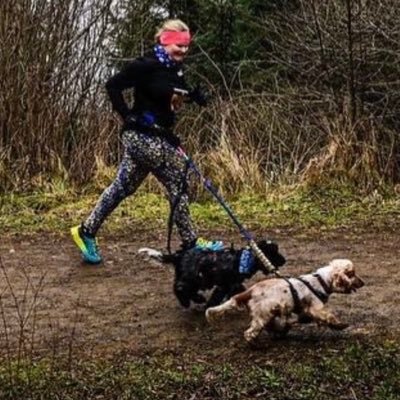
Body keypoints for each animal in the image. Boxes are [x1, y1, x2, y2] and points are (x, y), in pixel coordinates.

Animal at [139, 239, 286, 308]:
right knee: (179, 288)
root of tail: (179, 255)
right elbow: (217, 297)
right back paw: (190, 301)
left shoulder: (233, 283)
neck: (242, 260)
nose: (285, 260)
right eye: (274, 253)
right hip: (192, 278)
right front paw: (209, 306)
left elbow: (239, 290)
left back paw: (196, 299)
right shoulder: (224, 285)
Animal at [205, 260, 364, 342]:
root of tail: (249, 291)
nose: (363, 282)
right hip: (263, 314)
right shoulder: (316, 308)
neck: (321, 281)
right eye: (352, 274)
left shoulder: (304, 311)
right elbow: (329, 317)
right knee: (249, 333)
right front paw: (341, 325)